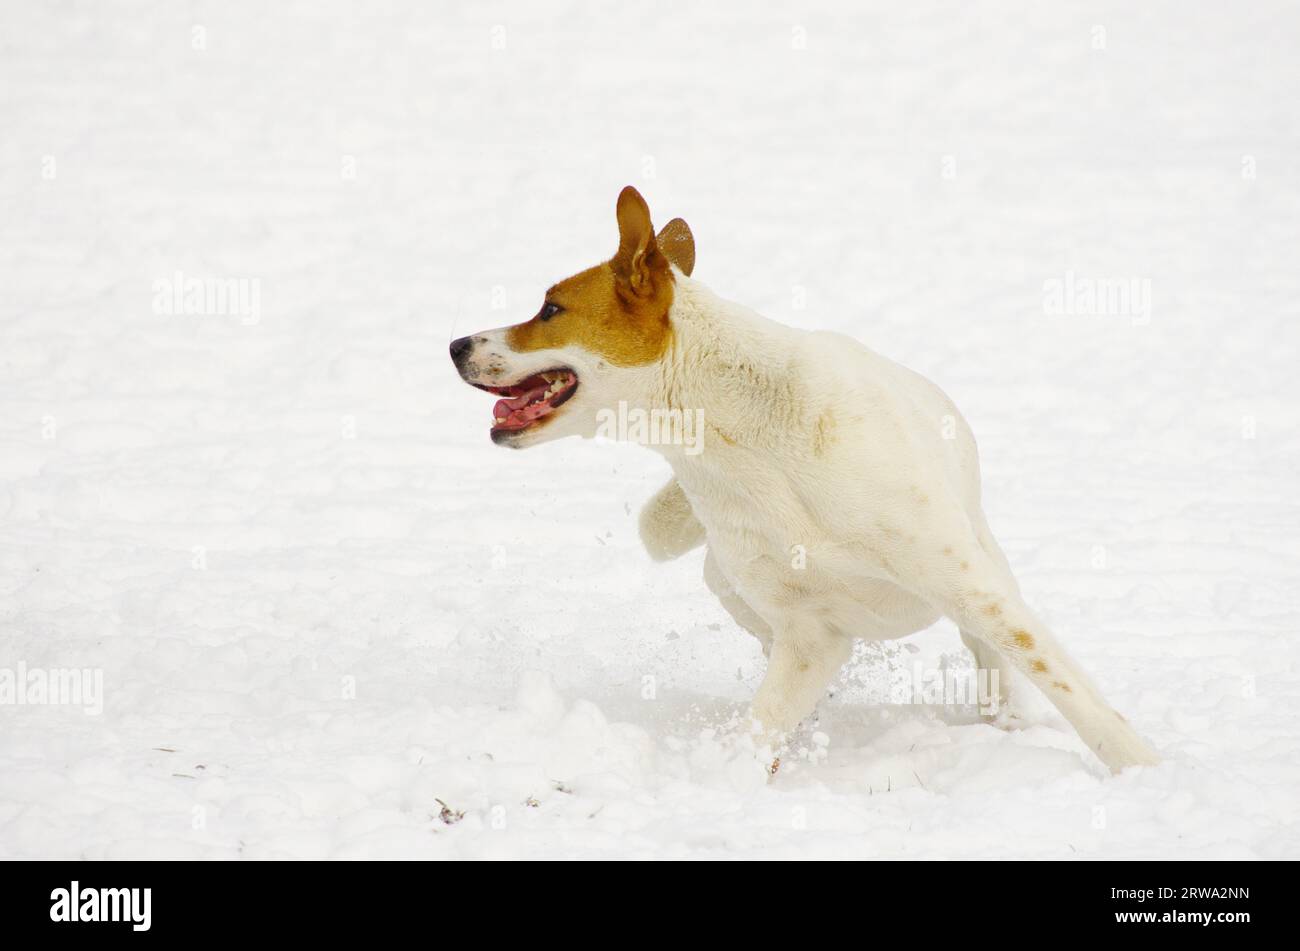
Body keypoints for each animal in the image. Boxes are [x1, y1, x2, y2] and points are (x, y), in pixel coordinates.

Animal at [454, 185, 1159, 774]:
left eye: (551, 308)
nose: (457, 345)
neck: (741, 439)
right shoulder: (806, 637)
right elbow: (760, 725)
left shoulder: (969, 586)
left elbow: (1060, 680)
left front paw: (1141, 769)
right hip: (731, 585)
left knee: (992, 657)